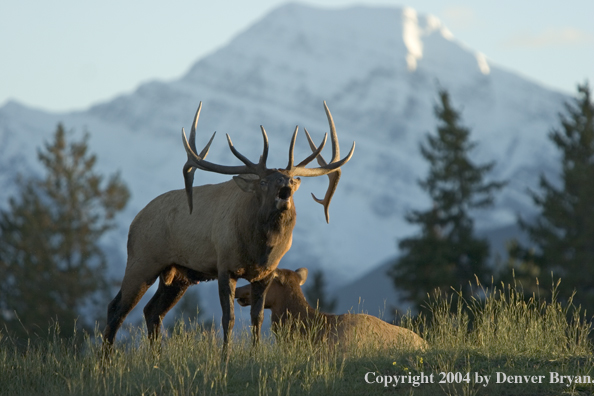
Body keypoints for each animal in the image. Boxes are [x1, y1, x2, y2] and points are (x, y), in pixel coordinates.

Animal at [102, 100, 354, 352]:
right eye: (264, 182)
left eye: (291, 179)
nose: (285, 189)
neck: (259, 249)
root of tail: (135, 220)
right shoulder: (225, 267)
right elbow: (228, 318)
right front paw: (225, 355)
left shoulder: (265, 274)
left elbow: (257, 317)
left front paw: (254, 353)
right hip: (142, 260)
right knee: (116, 307)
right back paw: (107, 358)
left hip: (178, 275)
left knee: (152, 311)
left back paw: (156, 356)